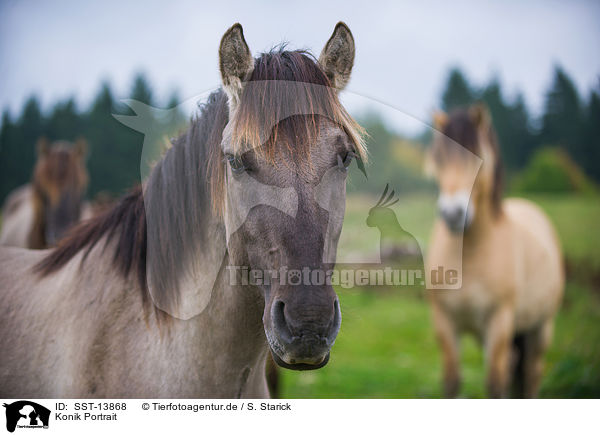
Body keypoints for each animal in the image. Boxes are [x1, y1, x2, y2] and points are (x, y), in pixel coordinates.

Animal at [426, 104, 564, 398]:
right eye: (439, 157)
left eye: (479, 155)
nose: (453, 214)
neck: (470, 255)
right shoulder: (444, 322)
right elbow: (452, 382)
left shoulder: (499, 322)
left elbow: (494, 384)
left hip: (540, 328)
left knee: (531, 373)